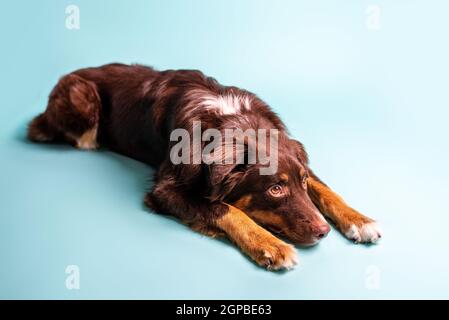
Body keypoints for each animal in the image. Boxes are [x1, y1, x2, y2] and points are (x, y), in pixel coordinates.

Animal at [28, 62, 380, 270]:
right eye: (275, 189)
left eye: (301, 182)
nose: (323, 231)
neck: (234, 122)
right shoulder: (165, 190)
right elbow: (224, 209)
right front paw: (269, 245)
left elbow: (327, 189)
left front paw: (358, 220)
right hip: (82, 96)